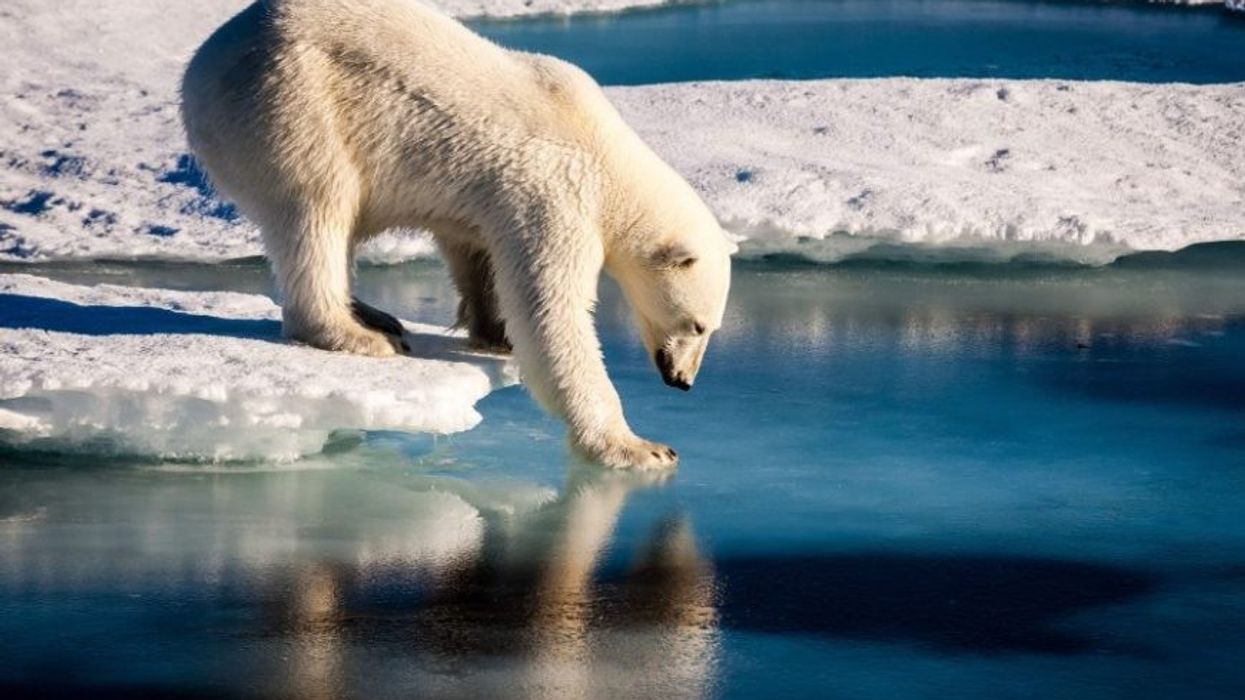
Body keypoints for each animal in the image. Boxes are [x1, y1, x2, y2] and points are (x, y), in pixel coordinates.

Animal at [181, 0, 734, 468]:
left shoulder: (488, 199)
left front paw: (494, 333)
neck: (607, 157)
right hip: (292, 103)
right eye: (698, 326)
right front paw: (640, 447)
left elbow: (476, 252)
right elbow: (552, 313)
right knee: (318, 207)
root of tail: (199, 66)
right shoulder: (556, 194)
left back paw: (373, 314)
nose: (683, 381)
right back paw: (359, 334)